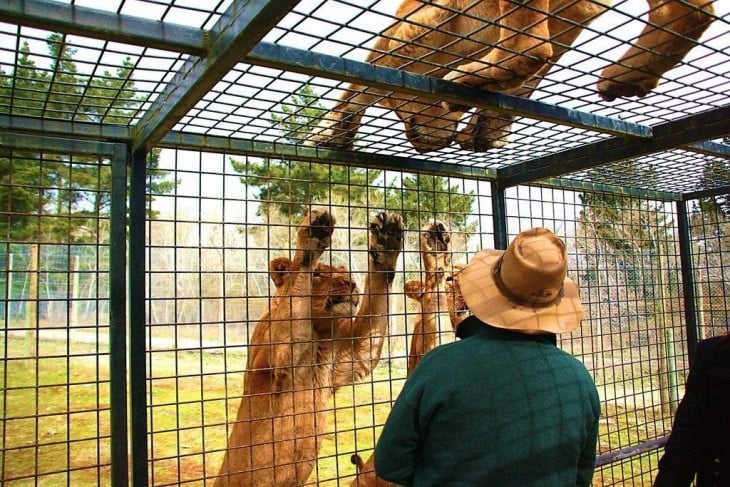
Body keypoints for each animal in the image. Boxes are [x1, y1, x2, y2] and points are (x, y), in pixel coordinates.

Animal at [213, 209, 406, 487]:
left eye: (345, 272)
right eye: (318, 274)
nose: (350, 283)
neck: (320, 337)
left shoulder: (355, 352)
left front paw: (387, 240)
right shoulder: (279, 353)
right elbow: (296, 283)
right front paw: (313, 233)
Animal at [308, 0, 712, 152]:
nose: (431, 145)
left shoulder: (408, 27)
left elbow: (361, 79)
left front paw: (330, 129)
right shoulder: (572, 13)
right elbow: (534, 76)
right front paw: (490, 126)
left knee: (529, 45)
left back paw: (472, 74)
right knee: (693, 11)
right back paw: (629, 73)